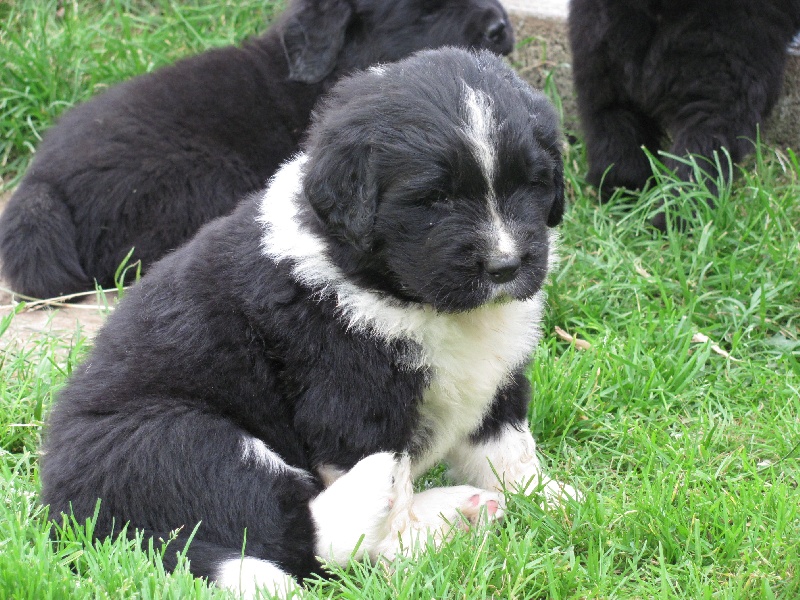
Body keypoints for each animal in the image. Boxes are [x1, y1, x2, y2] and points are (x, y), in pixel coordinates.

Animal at [40, 48, 576, 600]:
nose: (505, 266)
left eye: (532, 184)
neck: (412, 298)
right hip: (169, 437)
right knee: (289, 533)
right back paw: (386, 502)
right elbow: (389, 487)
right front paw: (404, 553)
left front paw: (550, 501)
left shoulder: (494, 376)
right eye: (435, 199)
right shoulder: (350, 400)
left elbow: (507, 446)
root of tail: (66, 514)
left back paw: (461, 511)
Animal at [568, 0, 800, 229]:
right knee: (704, 146)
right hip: (726, 49)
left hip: (599, 43)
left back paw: (622, 195)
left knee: (609, 117)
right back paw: (679, 218)